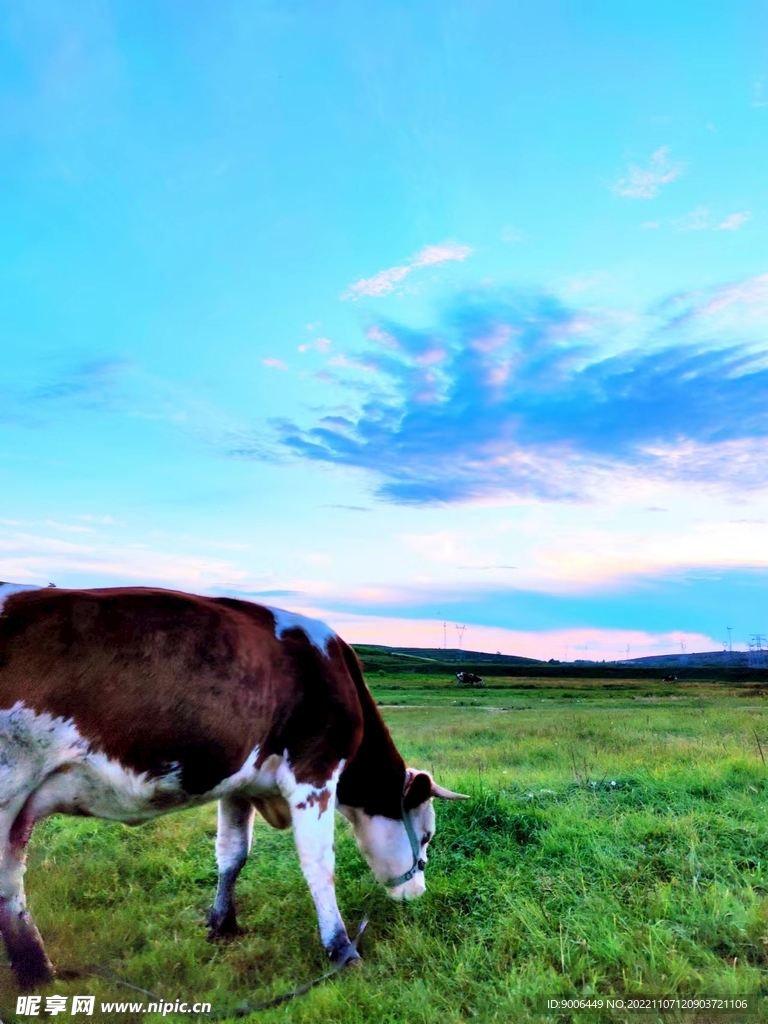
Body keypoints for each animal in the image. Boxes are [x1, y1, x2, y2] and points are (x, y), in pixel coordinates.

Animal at [1, 589, 468, 987]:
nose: (418, 892)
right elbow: (319, 863)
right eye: (427, 835)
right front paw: (340, 948)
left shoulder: (241, 783)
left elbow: (232, 853)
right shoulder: (313, 771)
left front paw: (222, 924)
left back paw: (38, 975)